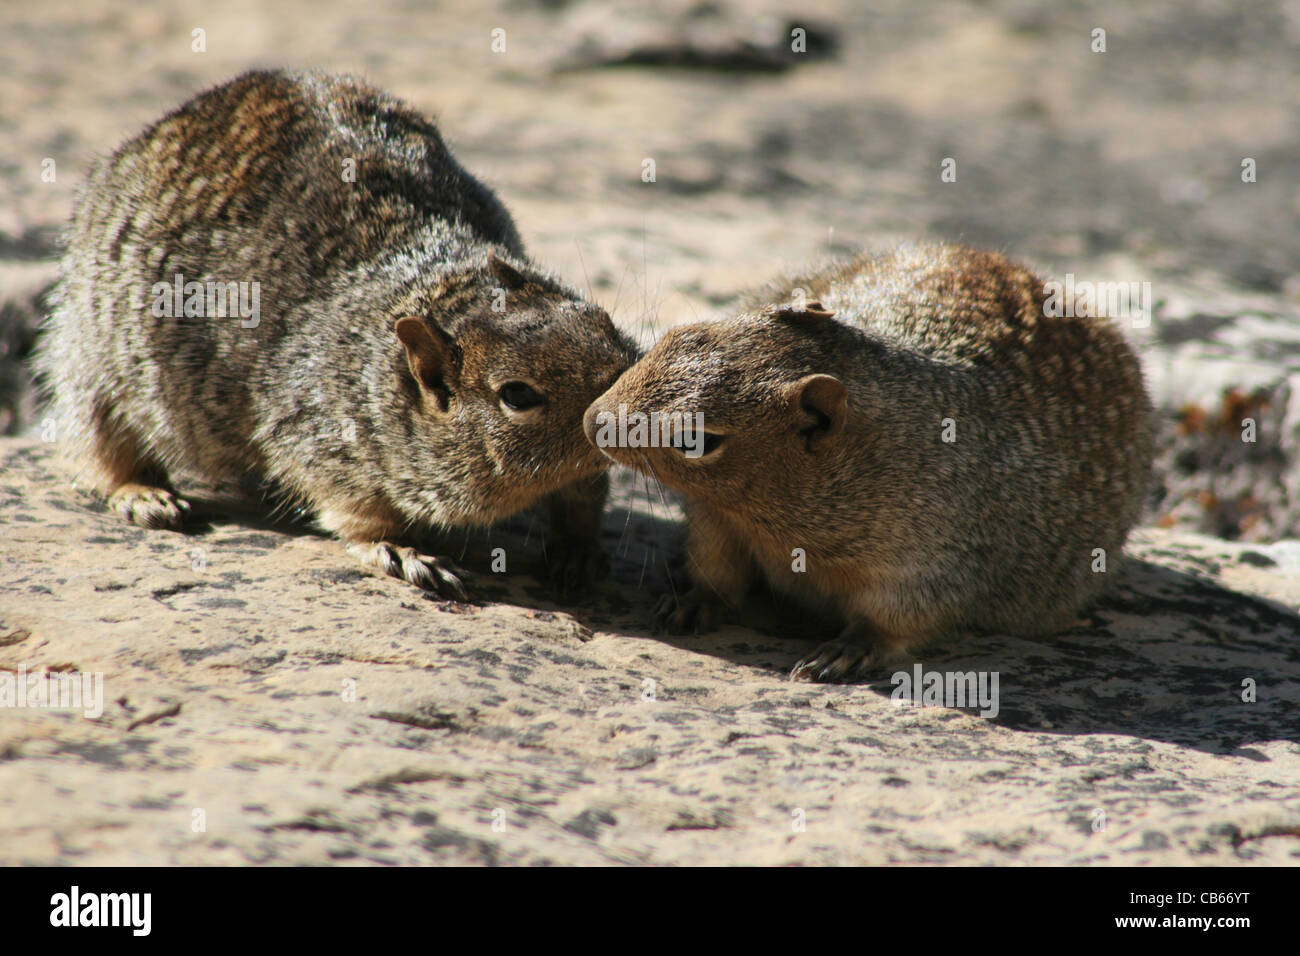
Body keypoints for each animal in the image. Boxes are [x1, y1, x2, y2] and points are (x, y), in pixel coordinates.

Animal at [585, 244, 1154, 681]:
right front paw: (692, 601)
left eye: (696, 440)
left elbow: (895, 622)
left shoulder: (926, 563)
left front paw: (846, 651)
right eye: (673, 337)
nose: (592, 419)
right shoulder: (716, 522)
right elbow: (716, 572)